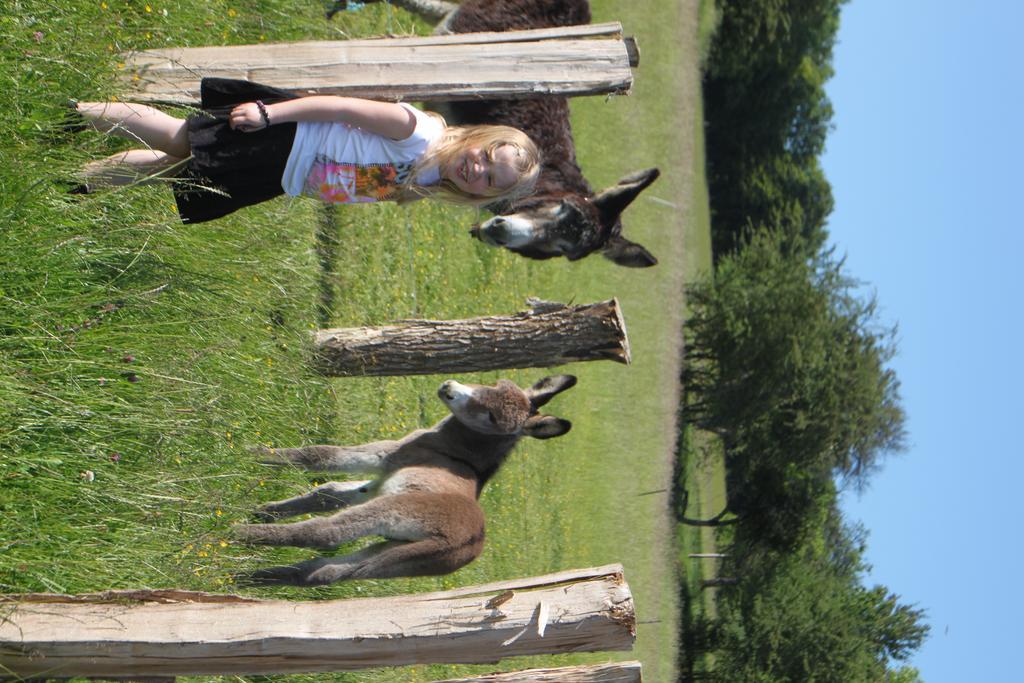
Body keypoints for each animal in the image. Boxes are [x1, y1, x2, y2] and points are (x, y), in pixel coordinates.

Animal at [235, 376, 581, 585]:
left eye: (492, 417)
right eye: (494, 383)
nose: (448, 387)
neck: (456, 451)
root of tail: (469, 541)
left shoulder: (388, 456)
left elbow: (318, 457)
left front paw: (251, 453)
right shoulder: (375, 485)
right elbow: (327, 493)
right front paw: (262, 509)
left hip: (393, 510)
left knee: (323, 533)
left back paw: (235, 534)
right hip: (398, 555)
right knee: (324, 572)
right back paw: (245, 578)